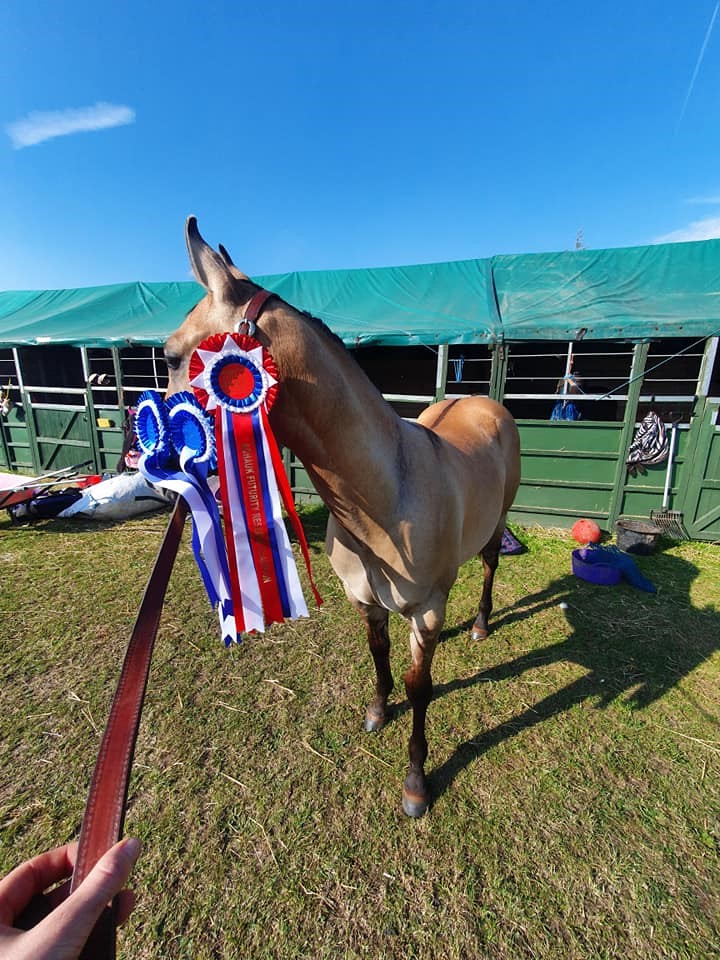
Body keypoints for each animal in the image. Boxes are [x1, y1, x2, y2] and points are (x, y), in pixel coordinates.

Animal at [165, 219, 520, 816]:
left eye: (169, 357)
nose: (143, 458)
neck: (383, 498)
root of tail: (483, 402)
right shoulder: (366, 601)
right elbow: (380, 657)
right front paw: (378, 710)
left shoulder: (426, 610)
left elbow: (420, 687)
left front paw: (416, 782)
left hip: (497, 525)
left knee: (492, 564)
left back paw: (478, 625)